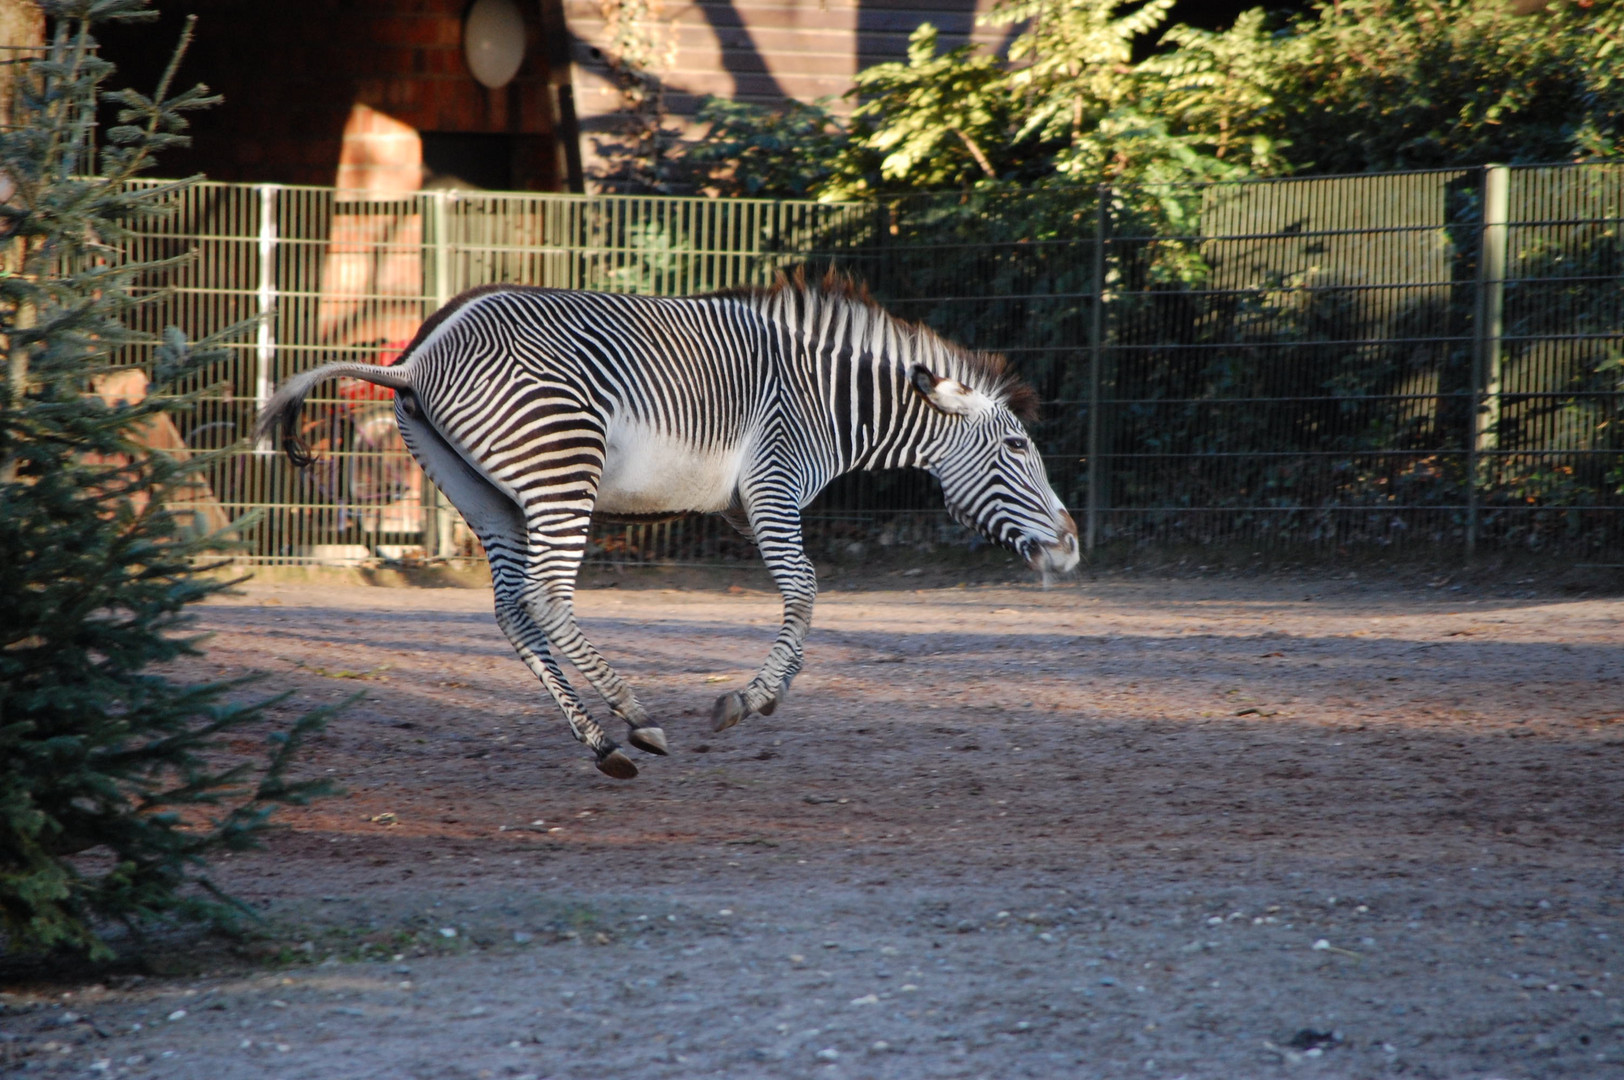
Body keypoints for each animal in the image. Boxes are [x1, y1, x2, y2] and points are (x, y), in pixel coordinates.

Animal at [259, 269, 1078, 776]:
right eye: (1017, 447)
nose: (1071, 547)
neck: (828, 399)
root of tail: (417, 358)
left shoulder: (743, 507)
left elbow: (800, 592)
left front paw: (760, 692)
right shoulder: (774, 484)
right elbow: (806, 590)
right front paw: (751, 699)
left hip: (484, 494)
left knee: (513, 610)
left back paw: (600, 741)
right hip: (562, 470)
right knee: (546, 599)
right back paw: (634, 714)